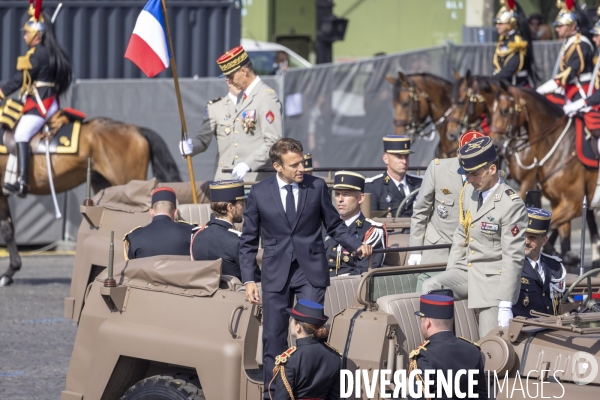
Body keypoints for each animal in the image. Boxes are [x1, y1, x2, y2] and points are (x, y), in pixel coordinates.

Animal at [0, 117, 180, 286]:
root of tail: (135, 129)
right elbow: (8, 229)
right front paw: (10, 271)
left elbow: (7, 230)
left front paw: (9, 272)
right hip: (104, 183)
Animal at [490, 83, 596, 266]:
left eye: (504, 111)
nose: (495, 145)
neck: (561, 147)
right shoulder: (557, 201)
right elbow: (562, 233)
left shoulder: (573, 204)